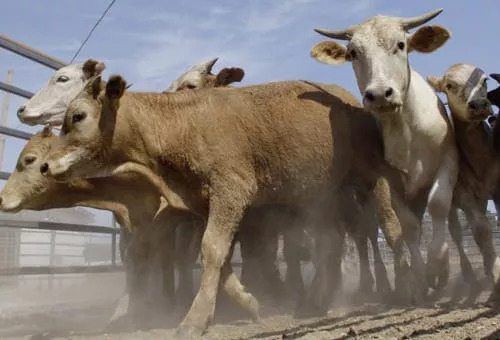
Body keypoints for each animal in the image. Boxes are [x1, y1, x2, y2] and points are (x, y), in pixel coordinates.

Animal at [41, 73, 412, 336]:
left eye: (77, 116)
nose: (45, 165)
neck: (182, 126)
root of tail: (349, 99)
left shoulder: (231, 191)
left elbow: (213, 250)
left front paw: (193, 320)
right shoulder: (206, 203)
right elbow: (221, 258)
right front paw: (249, 302)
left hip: (372, 179)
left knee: (390, 227)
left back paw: (403, 288)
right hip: (324, 196)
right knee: (331, 243)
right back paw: (314, 301)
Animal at [310, 7, 458, 292]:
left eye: (400, 44)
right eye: (353, 53)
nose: (379, 94)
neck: (406, 131)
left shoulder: (448, 159)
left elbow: (438, 205)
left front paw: (439, 266)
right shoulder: (390, 180)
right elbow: (408, 227)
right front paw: (420, 275)